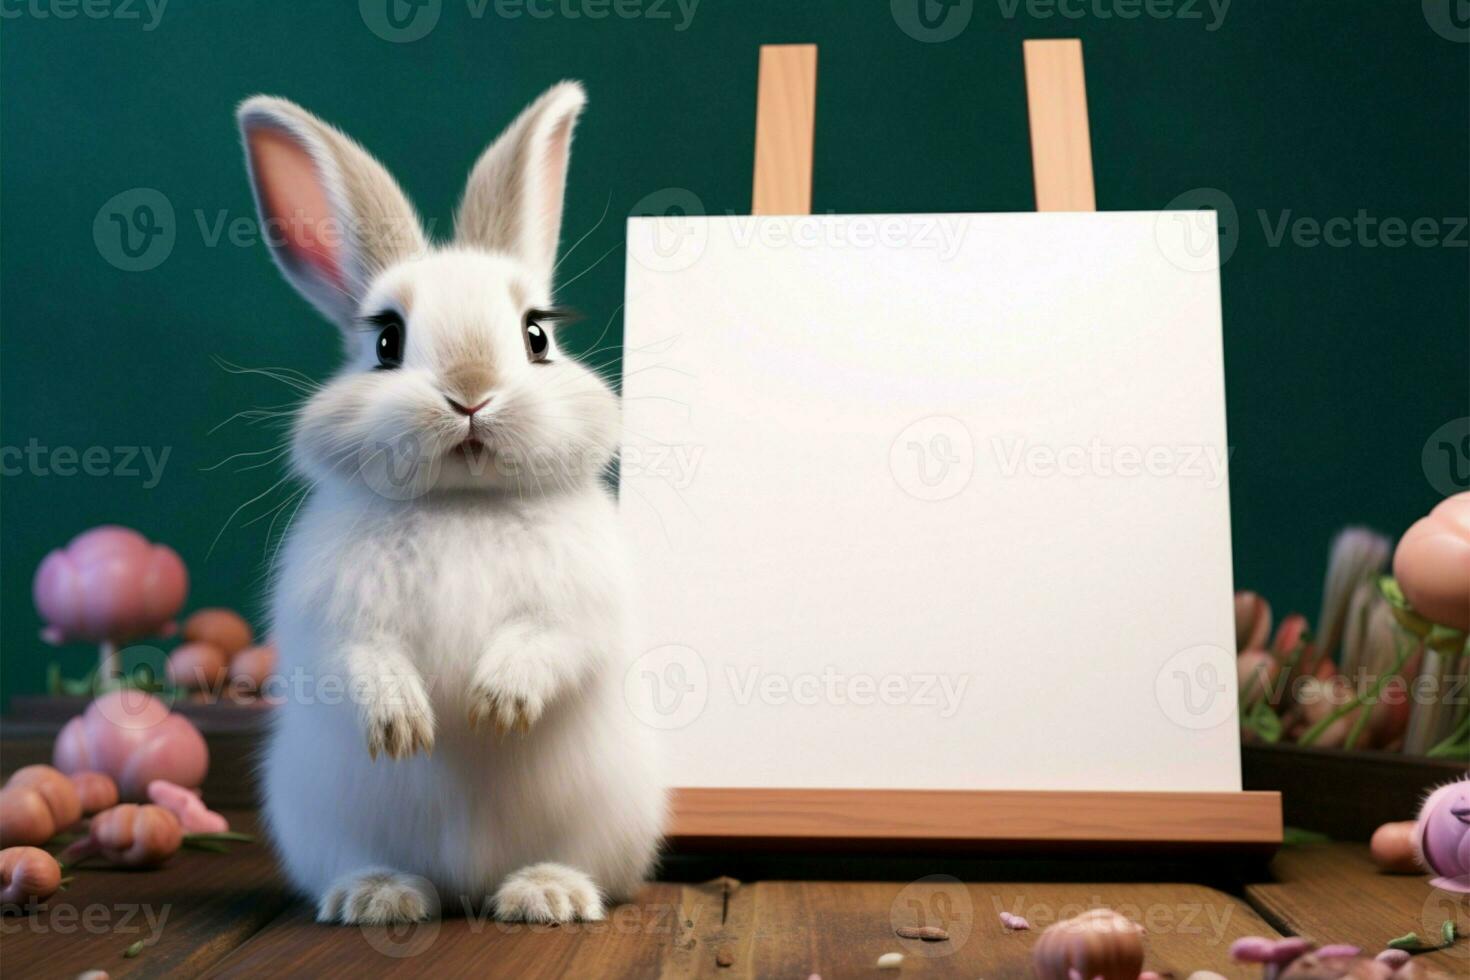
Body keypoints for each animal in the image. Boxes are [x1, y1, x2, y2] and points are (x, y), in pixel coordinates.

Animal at [236, 80, 667, 922]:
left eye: (536, 337)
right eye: (386, 342)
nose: (471, 392)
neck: (462, 503)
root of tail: (466, 884)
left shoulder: (579, 607)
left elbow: (551, 643)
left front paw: (495, 706)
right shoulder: (331, 617)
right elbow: (357, 660)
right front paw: (403, 725)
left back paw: (545, 894)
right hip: (322, 819)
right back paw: (378, 897)